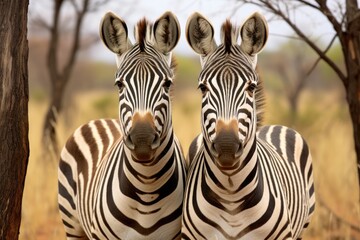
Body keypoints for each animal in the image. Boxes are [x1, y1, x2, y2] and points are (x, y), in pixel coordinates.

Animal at [57, 11, 187, 240]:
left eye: (167, 84)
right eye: (119, 84)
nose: (142, 140)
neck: (147, 189)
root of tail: (102, 119)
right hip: (71, 224)